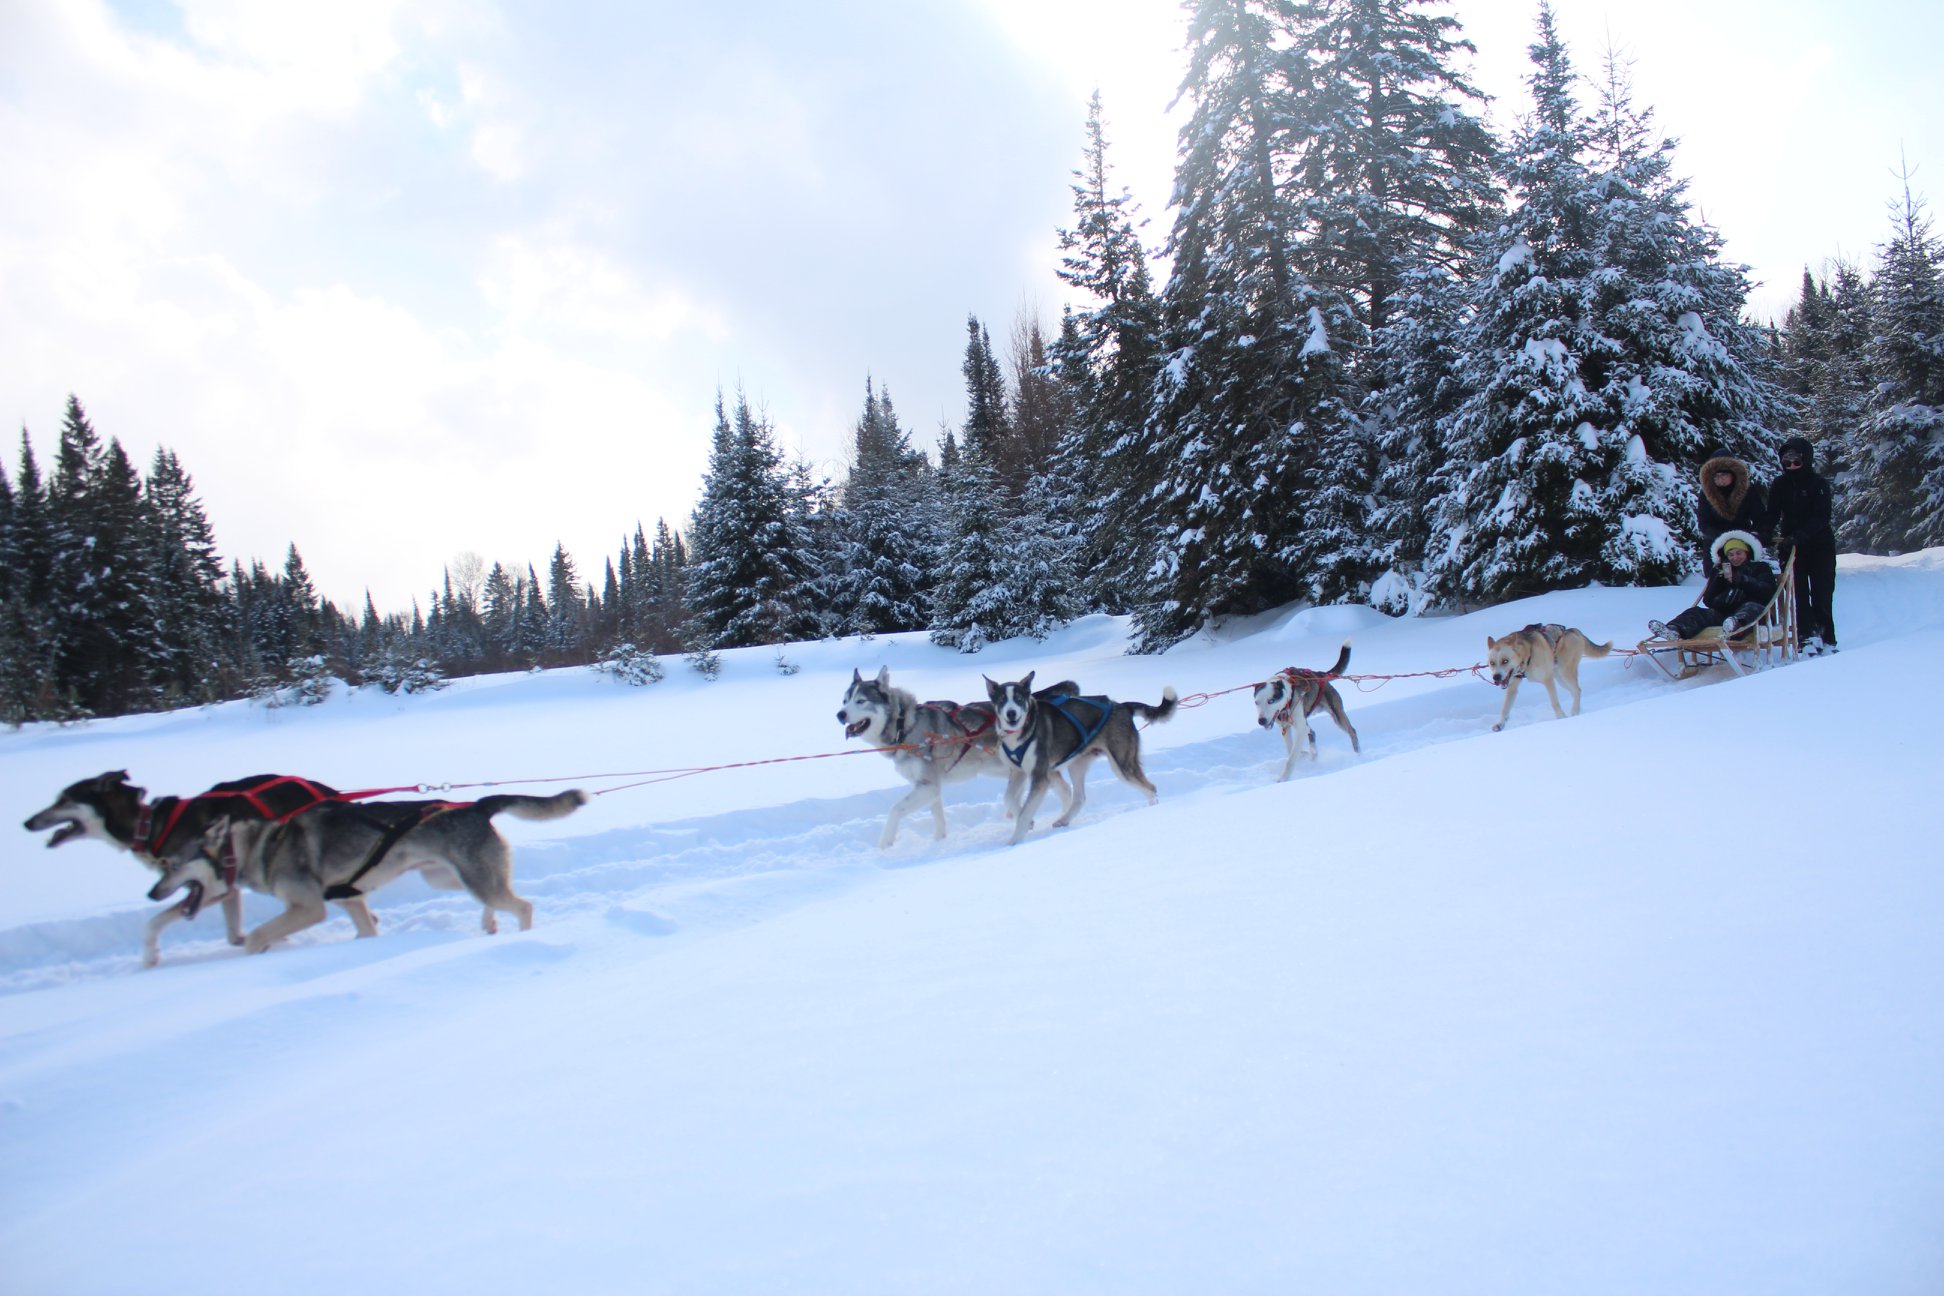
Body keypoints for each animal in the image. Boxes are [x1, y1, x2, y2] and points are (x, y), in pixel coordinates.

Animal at [19, 769, 371, 963]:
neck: (149, 824)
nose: (27, 822)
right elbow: (233, 935)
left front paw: (150, 957)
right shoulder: (221, 888)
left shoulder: (213, 886)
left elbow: (154, 923)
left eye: (64, 799)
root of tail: (329, 791)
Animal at [149, 784, 583, 959]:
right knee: (497, 897)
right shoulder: (351, 898)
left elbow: (257, 935)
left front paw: (256, 953)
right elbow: (365, 928)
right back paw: (488, 925)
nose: (151, 893)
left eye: (171, 864)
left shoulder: (309, 907)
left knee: (522, 906)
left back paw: (520, 936)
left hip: (470, 878)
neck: (262, 846)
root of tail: (476, 806)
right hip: (445, 876)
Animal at [839, 668, 1080, 851]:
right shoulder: (930, 787)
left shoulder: (927, 786)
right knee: (1065, 790)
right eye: (845, 700)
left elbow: (895, 809)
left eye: (861, 701)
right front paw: (939, 840)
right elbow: (938, 817)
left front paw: (885, 841)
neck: (905, 725)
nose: (840, 714)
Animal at [1251, 645, 1360, 781]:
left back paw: (1358, 755)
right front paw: (1302, 754)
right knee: (1312, 732)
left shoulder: (1299, 728)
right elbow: (1290, 748)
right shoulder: (1285, 727)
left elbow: (1291, 758)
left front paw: (1283, 778)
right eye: (1257, 702)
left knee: (1352, 731)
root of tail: (1320, 675)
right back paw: (1313, 756)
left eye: (1271, 701)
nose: (1261, 721)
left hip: (1337, 715)